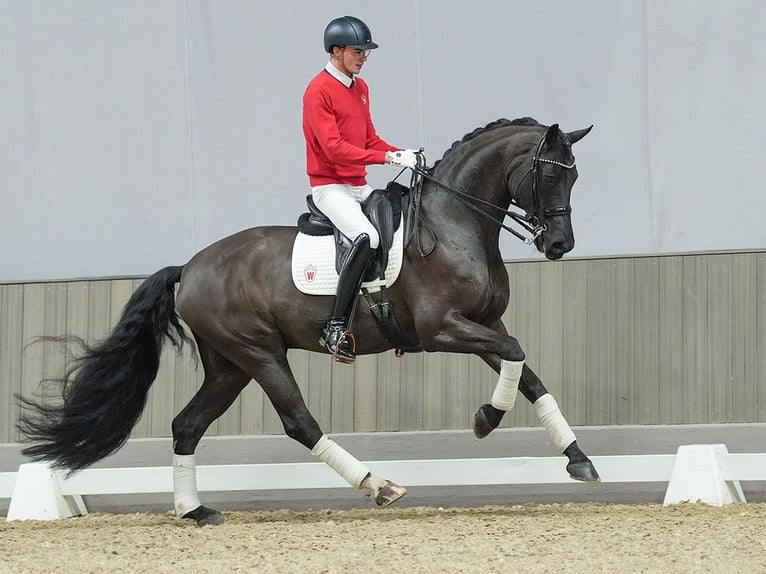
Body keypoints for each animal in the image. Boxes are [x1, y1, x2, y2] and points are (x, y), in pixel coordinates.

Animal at [15, 116, 596, 528]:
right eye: (549, 172)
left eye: (574, 175)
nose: (559, 245)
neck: (456, 224)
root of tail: (190, 268)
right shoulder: (442, 329)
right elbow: (518, 355)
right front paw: (485, 420)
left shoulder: (482, 324)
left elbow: (528, 374)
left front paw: (577, 459)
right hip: (260, 353)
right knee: (299, 422)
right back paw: (378, 485)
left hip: (229, 365)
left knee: (187, 425)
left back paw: (194, 511)